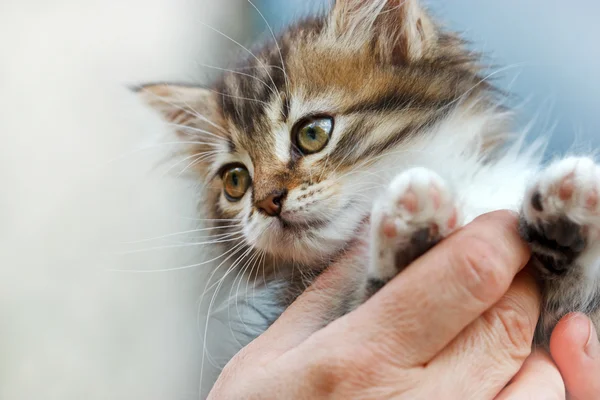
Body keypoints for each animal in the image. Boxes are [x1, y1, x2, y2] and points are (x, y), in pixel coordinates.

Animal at [137, 0, 600, 382]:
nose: (267, 202)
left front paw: (565, 216)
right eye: (236, 181)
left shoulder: (565, 327)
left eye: (312, 133)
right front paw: (415, 239)